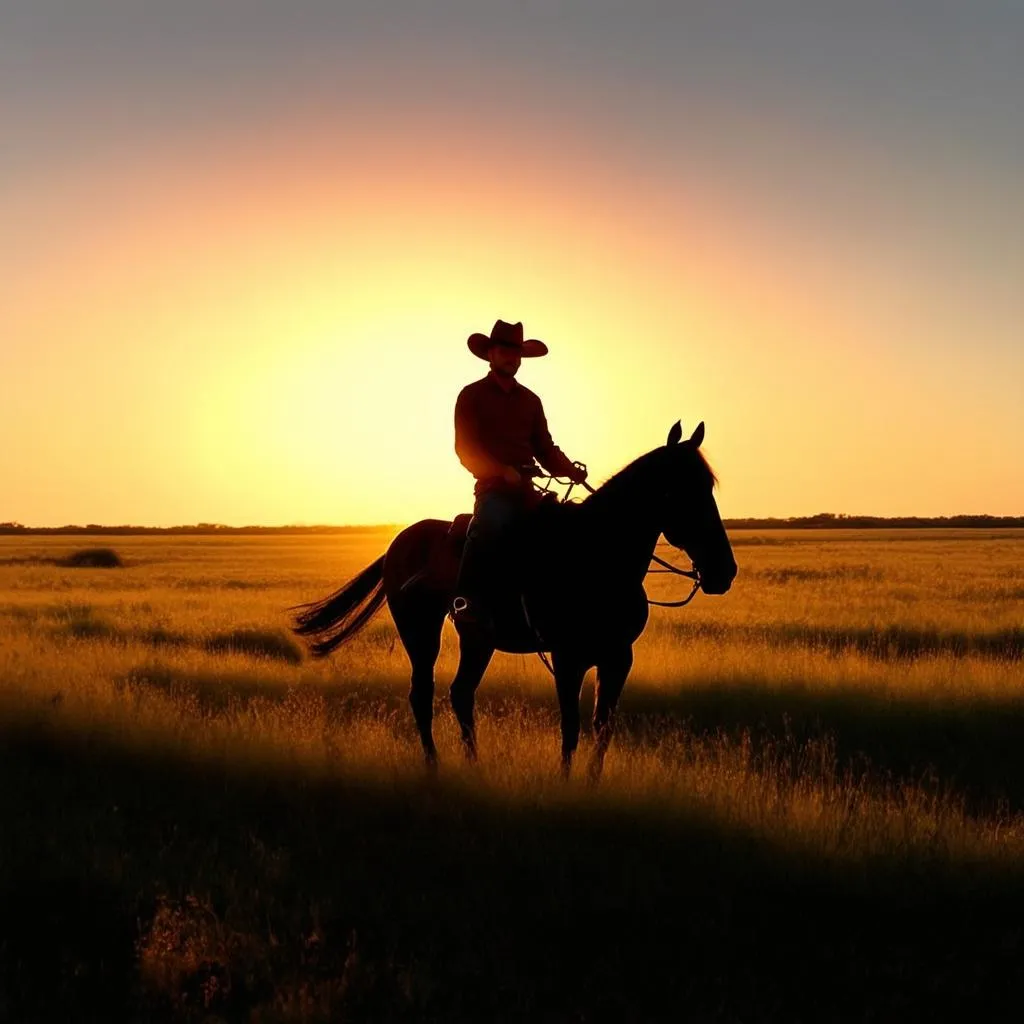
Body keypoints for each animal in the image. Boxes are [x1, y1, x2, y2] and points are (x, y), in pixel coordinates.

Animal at [290, 419, 737, 770]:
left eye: (710, 487)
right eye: (678, 491)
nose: (723, 571)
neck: (593, 555)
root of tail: (399, 542)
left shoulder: (618, 657)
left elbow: (603, 728)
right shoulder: (568, 657)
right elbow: (571, 729)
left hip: (477, 638)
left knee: (461, 694)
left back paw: (474, 767)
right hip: (420, 632)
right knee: (423, 694)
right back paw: (434, 767)